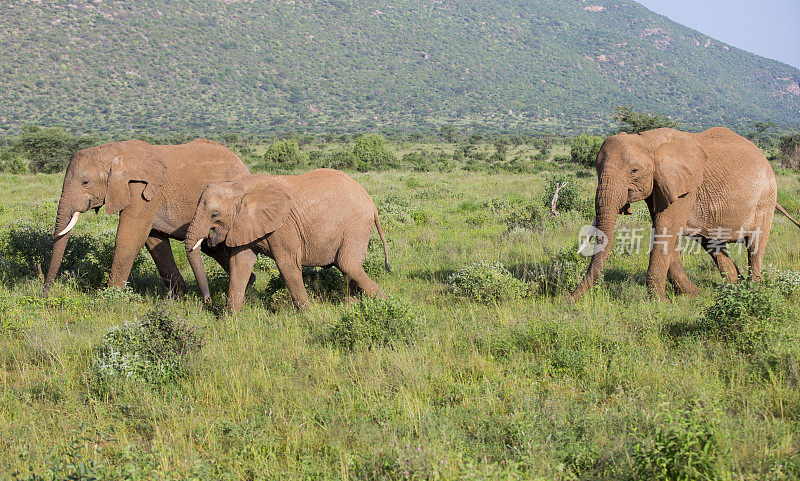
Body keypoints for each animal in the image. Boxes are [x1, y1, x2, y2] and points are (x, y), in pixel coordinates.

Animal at [42, 137, 248, 300]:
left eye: (85, 182)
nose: (45, 293)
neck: (113, 152)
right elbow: (154, 242)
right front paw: (180, 298)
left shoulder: (143, 190)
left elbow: (130, 237)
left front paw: (110, 298)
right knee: (211, 247)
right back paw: (250, 281)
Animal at [185, 169, 390, 312]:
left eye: (214, 214)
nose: (207, 301)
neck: (238, 186)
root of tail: (371, 202)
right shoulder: (243, 225)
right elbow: (239, 265)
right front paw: (230, 319)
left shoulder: (283, 226)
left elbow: (288, 264)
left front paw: (311, 313)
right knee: (349, 267)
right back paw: (353, 305)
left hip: (356, 224)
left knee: (348, 265)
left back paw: (383, 303)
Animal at [572, 127, 800, 300]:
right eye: (597, 169)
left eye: (634, 171)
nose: (568, 300)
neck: (648, 140)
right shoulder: (659, 186)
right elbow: (666, 231)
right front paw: (690, 295)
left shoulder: (686, 187)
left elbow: (666, 229)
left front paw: (659, 303)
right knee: (714, 246)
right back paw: (733, 288)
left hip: (765, 197)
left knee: (755, 245)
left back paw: (753, 290)